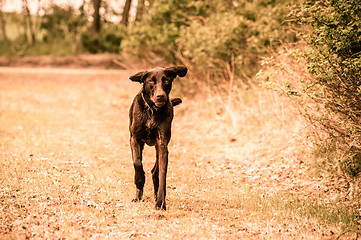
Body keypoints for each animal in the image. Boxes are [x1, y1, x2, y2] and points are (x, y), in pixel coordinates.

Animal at [128, 65, 187, 210]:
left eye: (166, 80)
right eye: (151, 81)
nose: (161, 96)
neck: (152, 110)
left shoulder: (162, 143)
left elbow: (162, 174)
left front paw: (160, 202)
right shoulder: (134, 139)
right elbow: (137, 162)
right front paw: (139, 180)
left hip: (158, 147)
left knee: (156, 171)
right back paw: (138, 197)